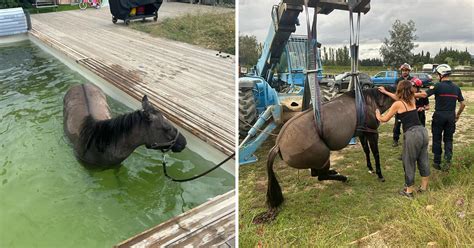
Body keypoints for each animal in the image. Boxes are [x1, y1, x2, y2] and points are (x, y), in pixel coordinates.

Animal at [256, 86, 396, 223]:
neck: (367, 102)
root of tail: (278, 145)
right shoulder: (372, 133)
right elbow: (376, 153)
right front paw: (379, 174)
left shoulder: (363, 133)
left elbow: (366, 151)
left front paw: (370, 168)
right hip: (324, 157)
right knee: (320, 176)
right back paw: (343, 178)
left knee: (316, 173)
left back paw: (334, 172)